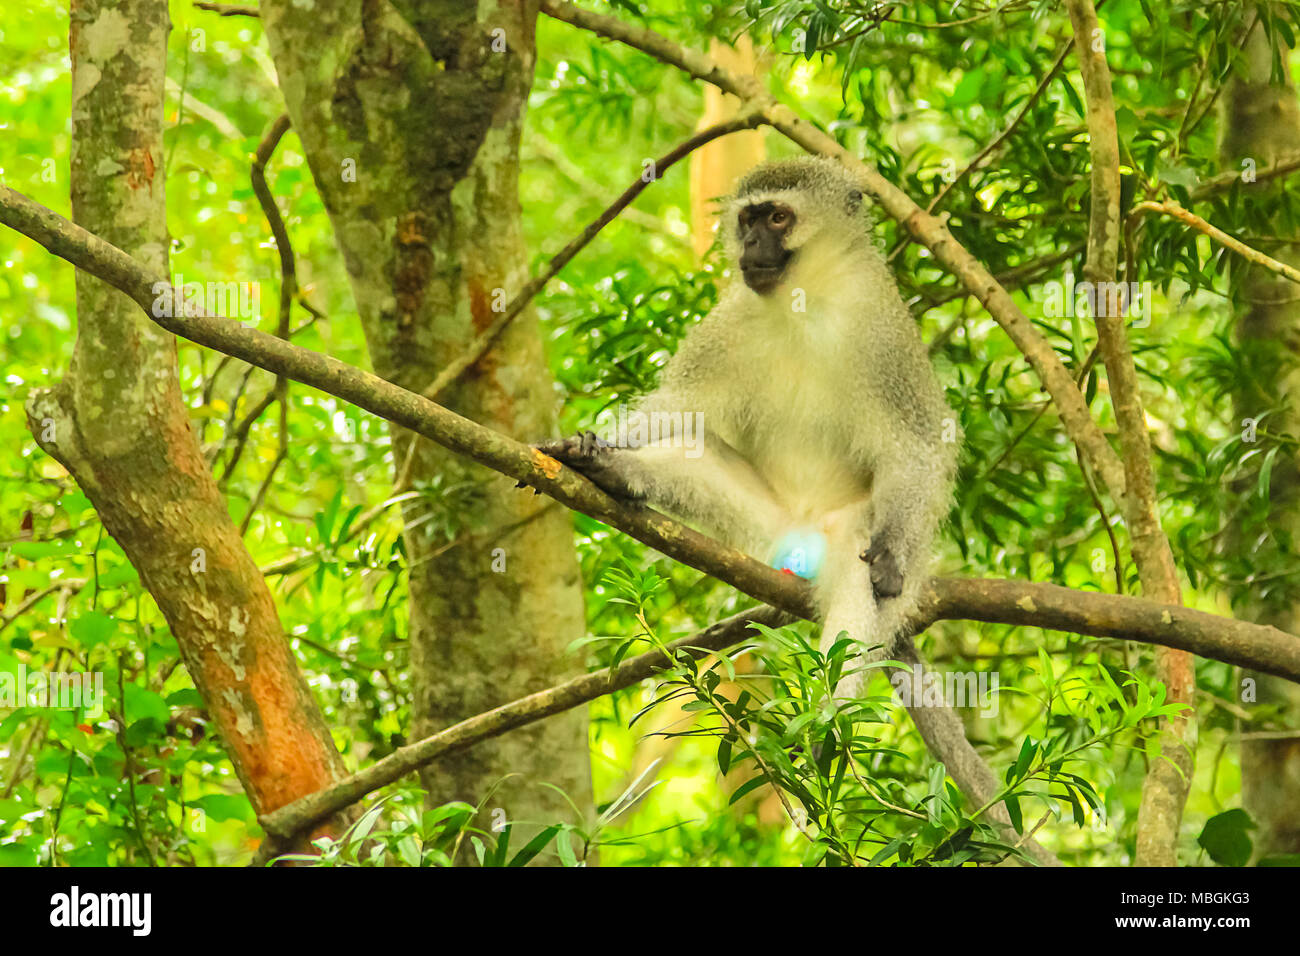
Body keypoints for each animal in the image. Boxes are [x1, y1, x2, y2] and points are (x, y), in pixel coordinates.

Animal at [535, 158, 956, 697]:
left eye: (777, 217)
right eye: (747, 219)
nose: (751, 243)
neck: (804, 299)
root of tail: (804, 531)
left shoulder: (884, 332)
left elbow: (916, 446)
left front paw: (890, 554)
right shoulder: (730, 320)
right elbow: (679, 407)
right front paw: (593, 444)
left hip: (844, 528)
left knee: (858, 587)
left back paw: (827, 711)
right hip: (766, 521)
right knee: (696, 451)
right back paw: (617, 471)